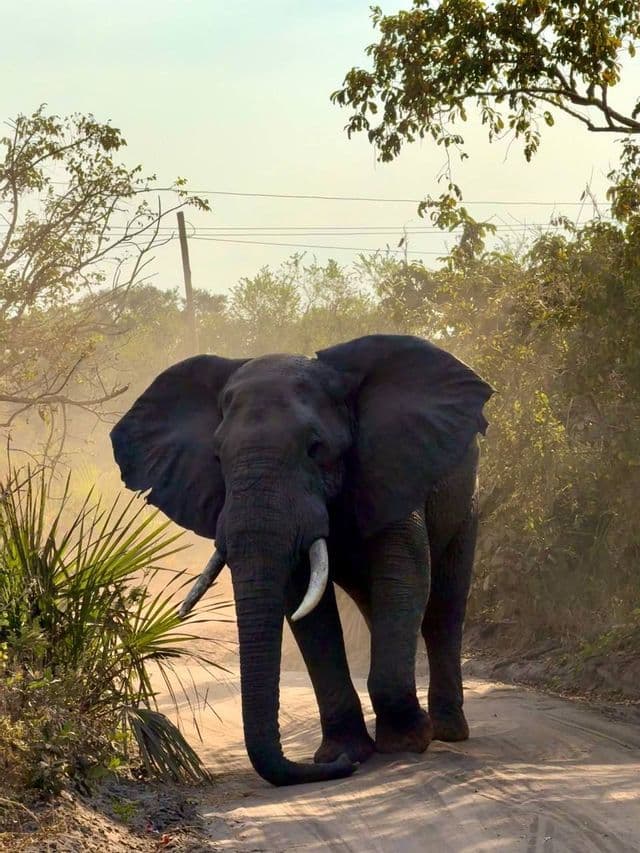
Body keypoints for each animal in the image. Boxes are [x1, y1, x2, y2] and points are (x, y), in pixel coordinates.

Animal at [110, 334, 493, 787]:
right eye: (217, 458)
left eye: (316, 449)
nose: (340, 768)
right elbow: (304, 605)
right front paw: (345, 752)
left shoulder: (393, 465)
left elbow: (404, 572)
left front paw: (406, 743)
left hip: (465, 500)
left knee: (443, 606)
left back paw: (447, 731)